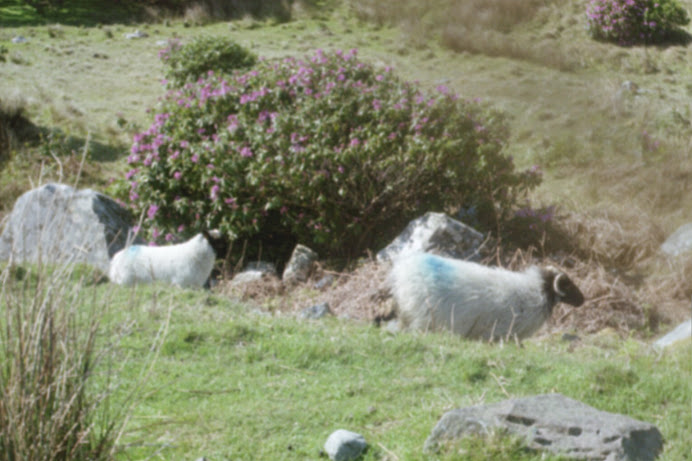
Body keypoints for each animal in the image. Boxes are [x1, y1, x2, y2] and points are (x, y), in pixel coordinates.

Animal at [390, 250, 584, 340]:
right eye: (567, 285)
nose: (583, 300)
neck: (538, 290)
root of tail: (403, 272)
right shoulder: (502, 331)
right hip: (422, 318)